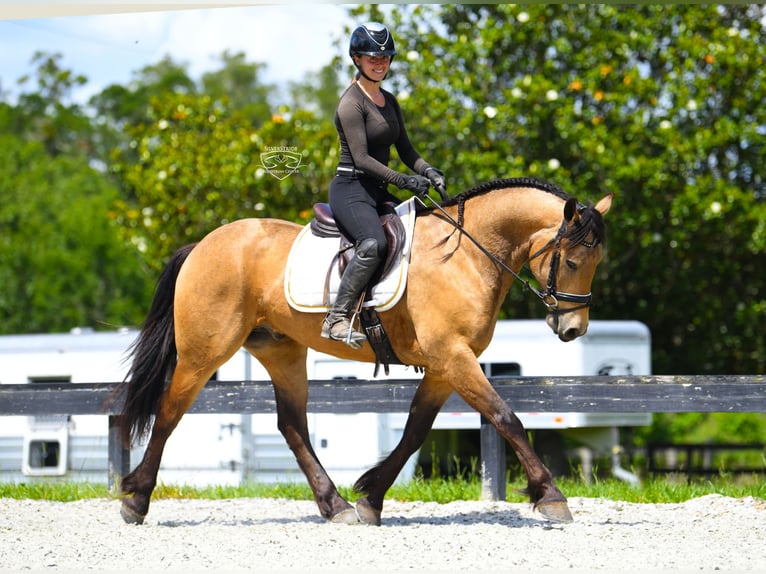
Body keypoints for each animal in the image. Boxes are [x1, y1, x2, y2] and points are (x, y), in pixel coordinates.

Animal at [113, 177, 612, 526]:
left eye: (596, 262)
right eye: (571, 261)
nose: (573, 329)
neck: (466, 256)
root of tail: (203, 244)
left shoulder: (444, 365)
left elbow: (415, 431)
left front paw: (370, 497)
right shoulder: (453, 357)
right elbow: (506, 418)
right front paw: (551, 496)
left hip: (282, 352)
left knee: (292, 426)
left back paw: (334, 504)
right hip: (205, 352)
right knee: (170, 411)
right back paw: (136, 499)